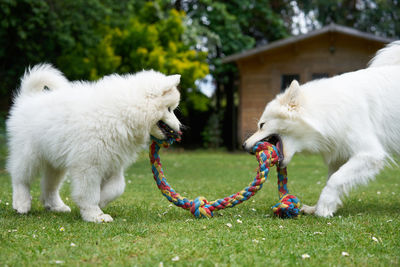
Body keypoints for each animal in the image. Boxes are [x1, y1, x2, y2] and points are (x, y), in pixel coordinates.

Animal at [7, 63, 182, 223]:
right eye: (169, 109)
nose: (181, 129)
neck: (124, 112)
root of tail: (27, 98)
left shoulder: (114, 163)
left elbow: (117, 187)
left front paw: (101, 201)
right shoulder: (89, 164)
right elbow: (89, 193)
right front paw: (95, 215)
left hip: (55, 161)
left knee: (49, 185)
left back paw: (56, 206)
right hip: (30, 154)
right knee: (20, 177)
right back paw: (21, 203)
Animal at [242, 41, 400, 218]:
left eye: (262, 125)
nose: (243, 145)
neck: (326, 111)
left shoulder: (370, 153)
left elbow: (335, 180)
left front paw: (323, 208)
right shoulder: (340, 155)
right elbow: (332, 179)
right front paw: (318, 207)